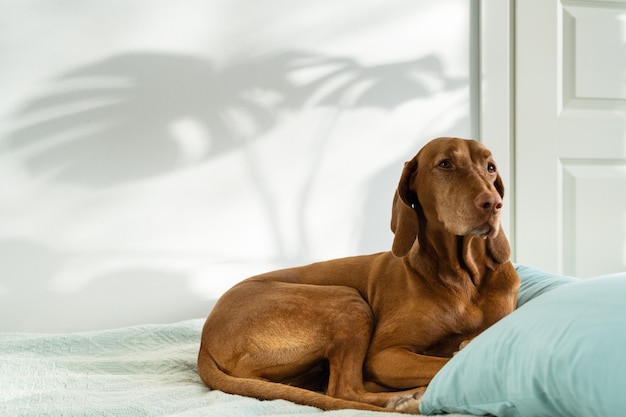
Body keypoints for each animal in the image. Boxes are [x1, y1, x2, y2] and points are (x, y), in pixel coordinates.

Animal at [197, 137, 520, 412]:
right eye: (445, 164)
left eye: (490, 167)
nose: (493, 203)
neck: (462, 276)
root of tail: (204, 342)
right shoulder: (384, 354)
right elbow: (447, 363)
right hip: (346, 300)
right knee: (343, 389)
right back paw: (405, 399)